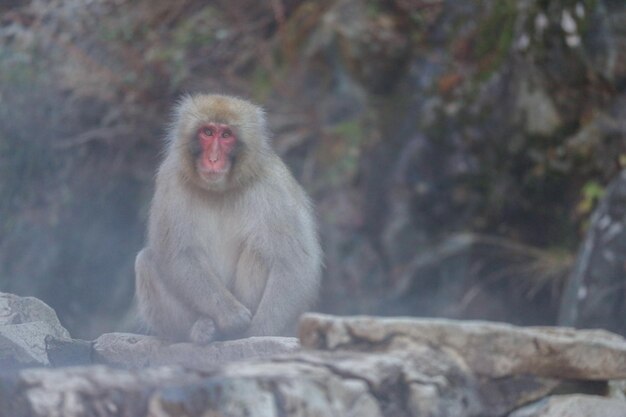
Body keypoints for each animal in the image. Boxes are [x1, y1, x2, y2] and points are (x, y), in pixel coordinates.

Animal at [135, 94, 322, 344]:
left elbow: (293, 262)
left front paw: (259, 333)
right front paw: (231, 316)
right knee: (146, 261)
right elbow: (179, 254)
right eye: (207, 132)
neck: (220, 190)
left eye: (226, 135)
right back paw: (199, 330)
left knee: (260, 251)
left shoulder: (274, 185)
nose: (213, 159)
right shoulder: (170, 178)